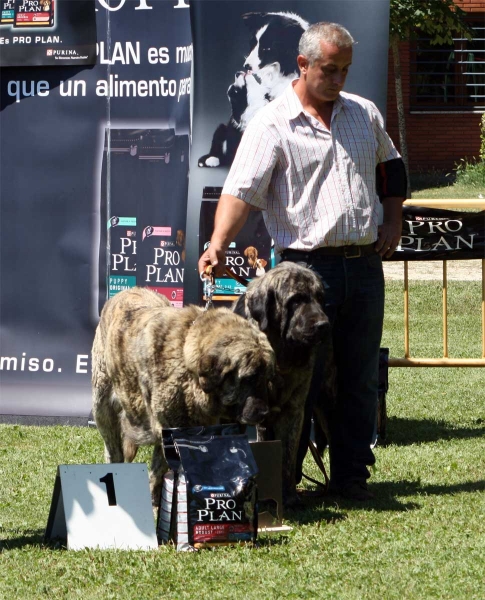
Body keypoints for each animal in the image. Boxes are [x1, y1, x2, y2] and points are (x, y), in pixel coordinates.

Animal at [91, 286, 272, 506]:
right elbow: (161, 472)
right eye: (249, 378)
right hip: (103, 408)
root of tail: (127, 291)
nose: (265, 413)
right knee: (113, 449)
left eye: (266, 378)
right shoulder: (169, 431)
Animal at [233, 262, 334, 506]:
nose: (323, 325)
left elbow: (287, 457)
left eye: (320, 298)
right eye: (296, 300)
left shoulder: (293, 412)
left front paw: (288, 496)